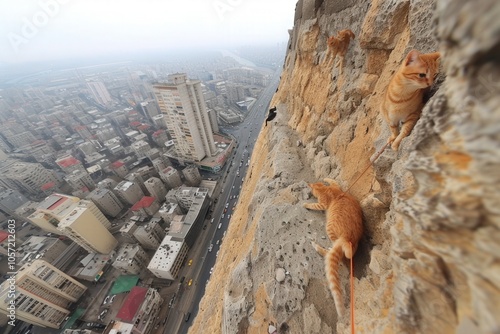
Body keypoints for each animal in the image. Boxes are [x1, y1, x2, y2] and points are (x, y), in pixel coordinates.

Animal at [302, 176, 362, 318]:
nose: (310, 193)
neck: (326, 189)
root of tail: (349, 239)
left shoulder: (322, 204)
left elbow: (314, 205)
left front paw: (305, 204)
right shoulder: (336, 185)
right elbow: (333, 180)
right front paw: (326, 178)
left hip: (329, 228)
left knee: (335, 252)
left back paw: (322, 248)